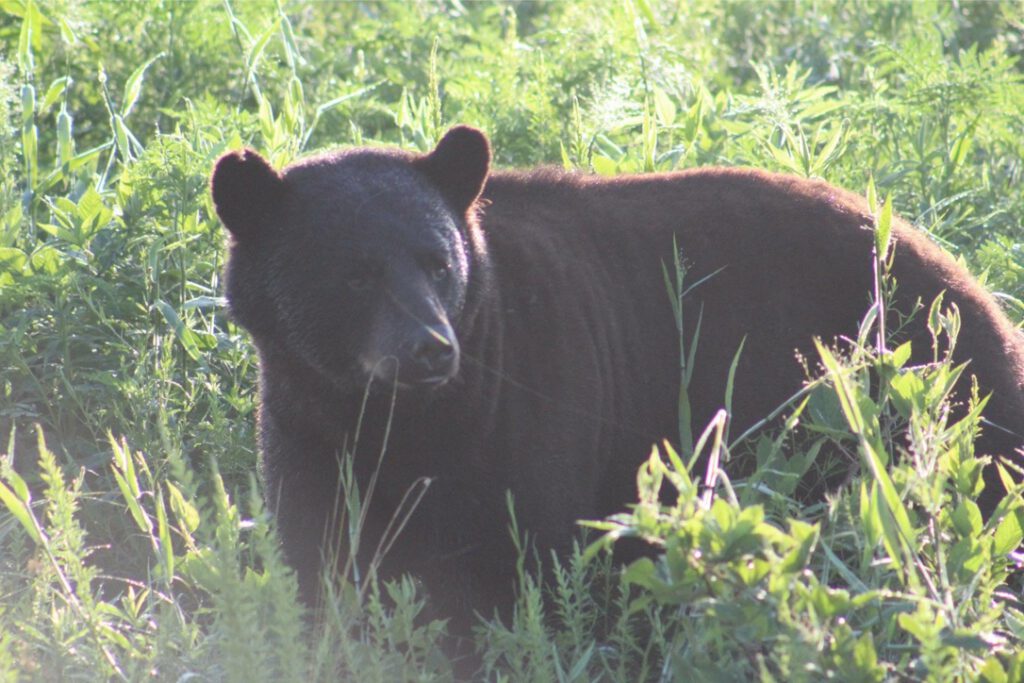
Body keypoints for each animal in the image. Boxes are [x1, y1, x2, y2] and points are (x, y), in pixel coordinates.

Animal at [210, 125, 1024, 629]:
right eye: (354, 275)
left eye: (437, 263)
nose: (431, 349)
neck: (390, 417)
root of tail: (973, 287)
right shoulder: (303, 430)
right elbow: (321, 566)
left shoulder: (529, 405)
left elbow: (520, 571)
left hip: (944, 402)